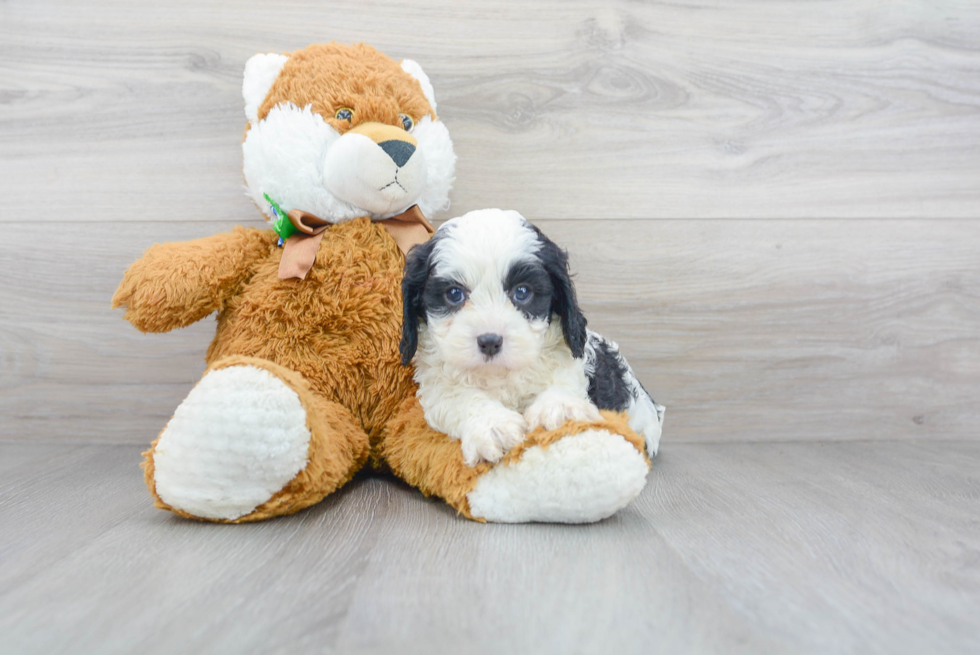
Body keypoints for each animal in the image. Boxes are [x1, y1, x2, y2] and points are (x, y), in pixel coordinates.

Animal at [400, 210, 668, 466]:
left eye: (522, 292)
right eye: (454, 294)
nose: (490, 342)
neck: (500, 376)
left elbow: (563, 381)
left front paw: (559, 409)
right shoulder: (438, 386)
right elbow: (460, 398)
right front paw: (494, 426)